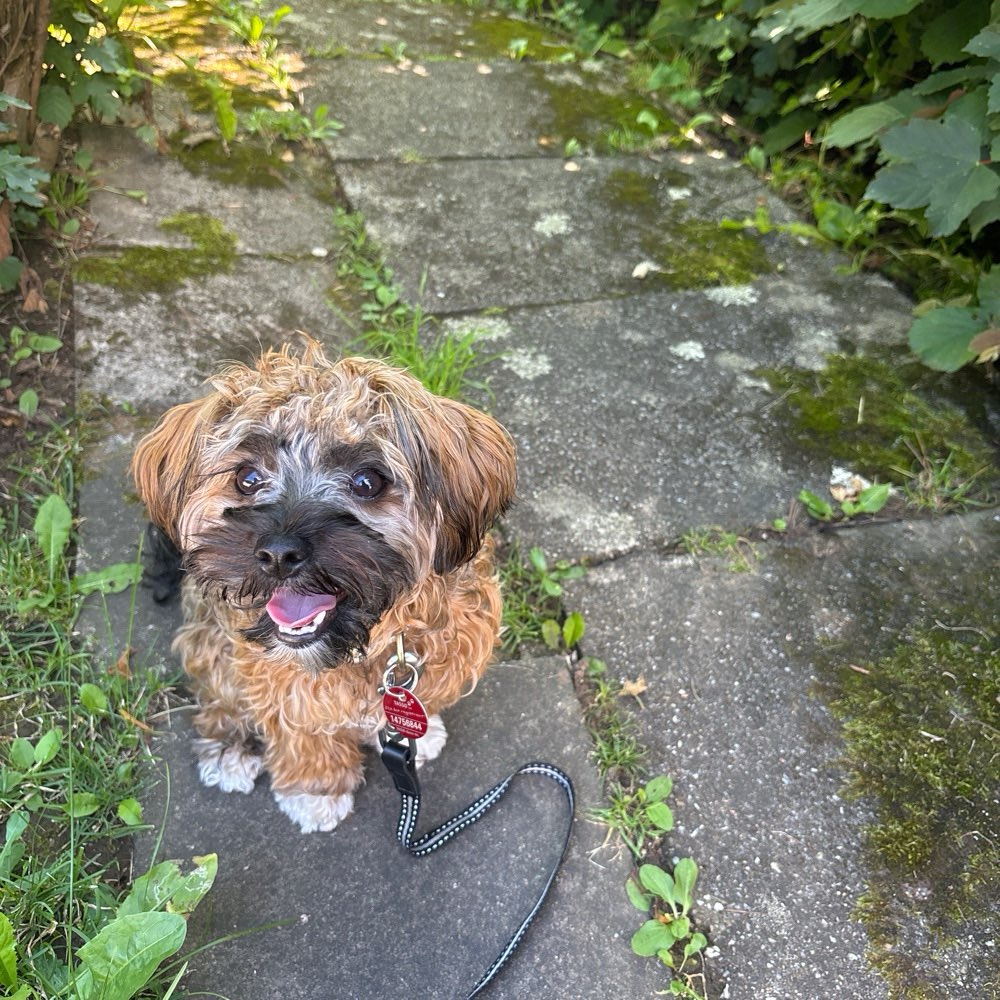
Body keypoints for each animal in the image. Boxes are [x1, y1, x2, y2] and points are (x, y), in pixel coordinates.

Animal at [132, 340, 516, 832]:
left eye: (367, 481)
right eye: (246, 478)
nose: (278, 554)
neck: (369, 642)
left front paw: (416, 731)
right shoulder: (281, 683)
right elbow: (302, 733)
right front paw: (316, 789)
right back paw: (229, 745)